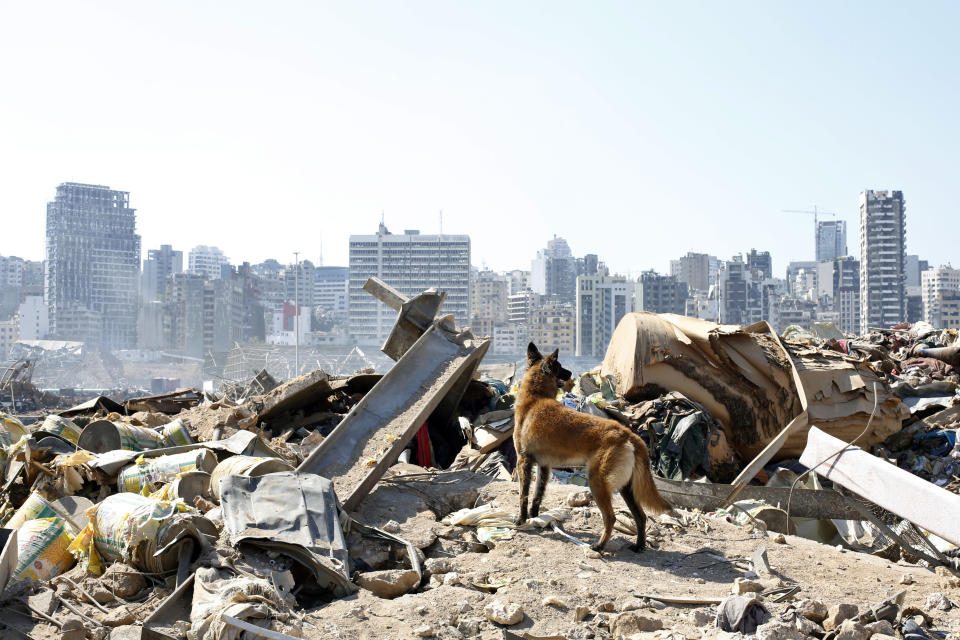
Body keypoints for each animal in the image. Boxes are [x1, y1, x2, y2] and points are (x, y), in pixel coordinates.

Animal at [512, 342, 672, 552]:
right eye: (561, 367)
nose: (571, 372)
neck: (535, 397)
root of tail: (628, 434)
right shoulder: (544, 466)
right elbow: (538, 494)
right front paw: (533, 515)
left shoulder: (523, 461)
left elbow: (523, 495)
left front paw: (521, 519)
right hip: (626, 488)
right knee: (641, 516)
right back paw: (639, 546)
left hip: (598, 483)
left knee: (611, 518)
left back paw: (599, 546)